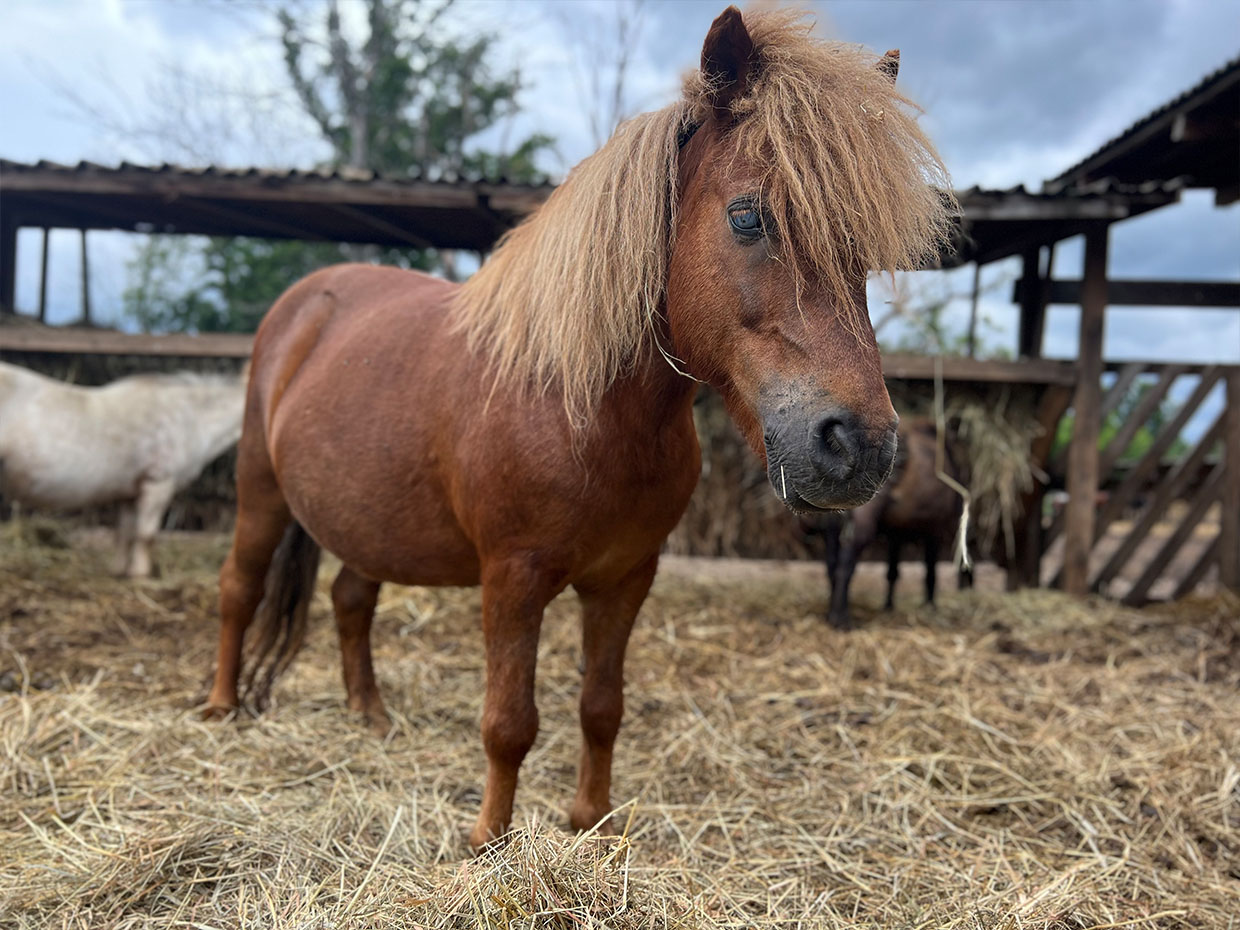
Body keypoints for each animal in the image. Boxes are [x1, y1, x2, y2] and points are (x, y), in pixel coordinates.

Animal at [0, 362, 246, 575]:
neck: (189, 418)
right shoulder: (158, 483)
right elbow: (146, 534)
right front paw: (140, 574)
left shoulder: (129, 492)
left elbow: (125, 533)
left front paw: (119, 571)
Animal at [208, 7, 952, 853]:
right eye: (747, 216)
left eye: (863, 253)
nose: (860, 447)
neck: (583, 410)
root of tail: (306, 302)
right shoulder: (513, 579)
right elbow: (509, 722)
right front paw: (488, 841)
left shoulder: (625, 578)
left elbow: (602, 707)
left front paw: (589, 822)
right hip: (261, 495)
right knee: (238, 588)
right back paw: (222, 706)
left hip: (369, 518)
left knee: (349, 598)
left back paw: (369, 715)